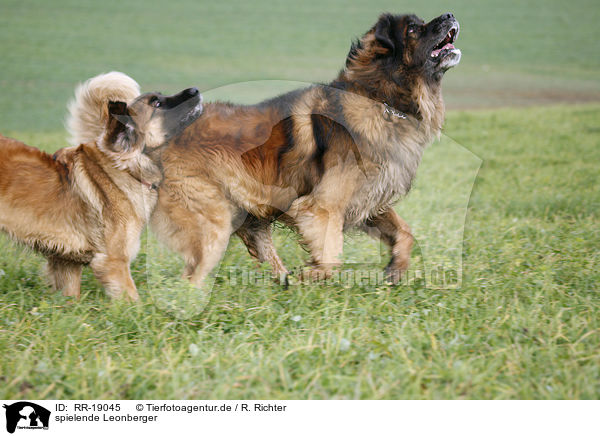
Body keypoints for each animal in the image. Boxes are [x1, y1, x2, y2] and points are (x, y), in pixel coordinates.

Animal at [151, 11, 464, 286]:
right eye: (413, 29)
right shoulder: (322, 207)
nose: (449, 14)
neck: (379, 98)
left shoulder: (368, 198)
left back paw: (280, 282)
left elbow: (404, 232)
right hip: (211, 217)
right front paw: (309, 276)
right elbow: (330, 259)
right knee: (191, 275)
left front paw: (395, 269)